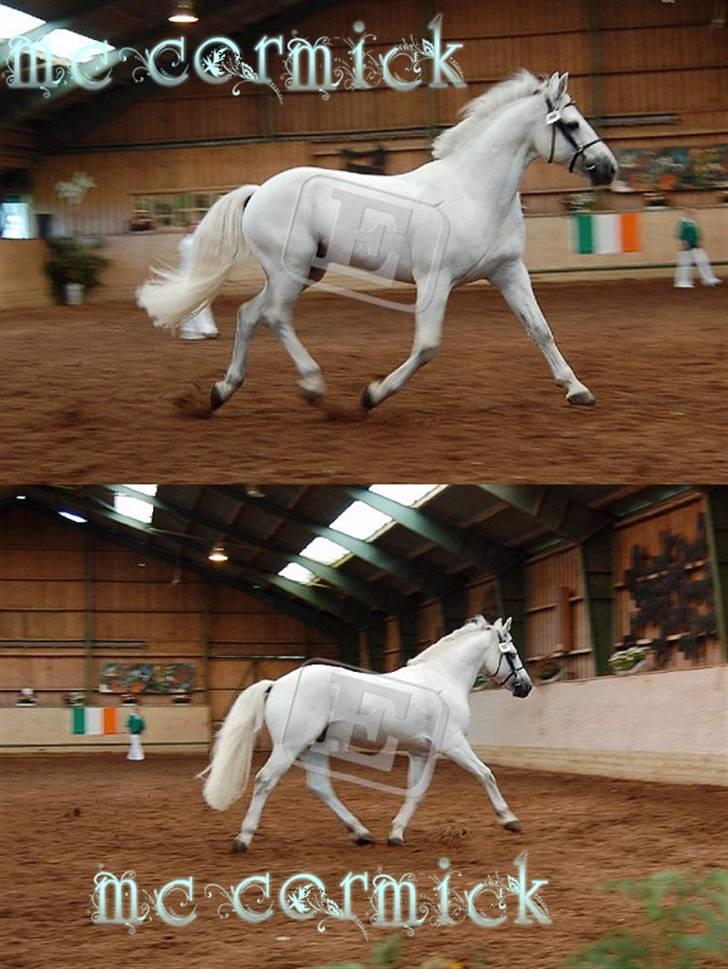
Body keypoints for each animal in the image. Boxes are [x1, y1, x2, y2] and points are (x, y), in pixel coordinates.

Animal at [139, 70, 616, 414]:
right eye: (571, 123)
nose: (608, 168)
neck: (473, 190)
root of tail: (259, 191)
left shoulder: (507, 271)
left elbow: (540, 329)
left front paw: (577, 390)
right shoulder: (434, 280)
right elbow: (427, 346)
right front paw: (373, 395)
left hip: (303, 272)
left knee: (248, 315)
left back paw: (223, 391)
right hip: (290, 271)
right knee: (274, 317)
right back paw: (312, 386)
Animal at [202, 616, 532, 852]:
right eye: (513, 653)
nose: (526, 687)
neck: (441, 679)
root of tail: (277, 684)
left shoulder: (420, 751)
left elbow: (416, 792)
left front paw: (396, 833)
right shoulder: (453, 744)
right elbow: (486, 774)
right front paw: (509, 819)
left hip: (314, 748)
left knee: (320, 787)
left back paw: (361, 833)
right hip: (289, 747)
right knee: (264, 781)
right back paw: (243, 839)